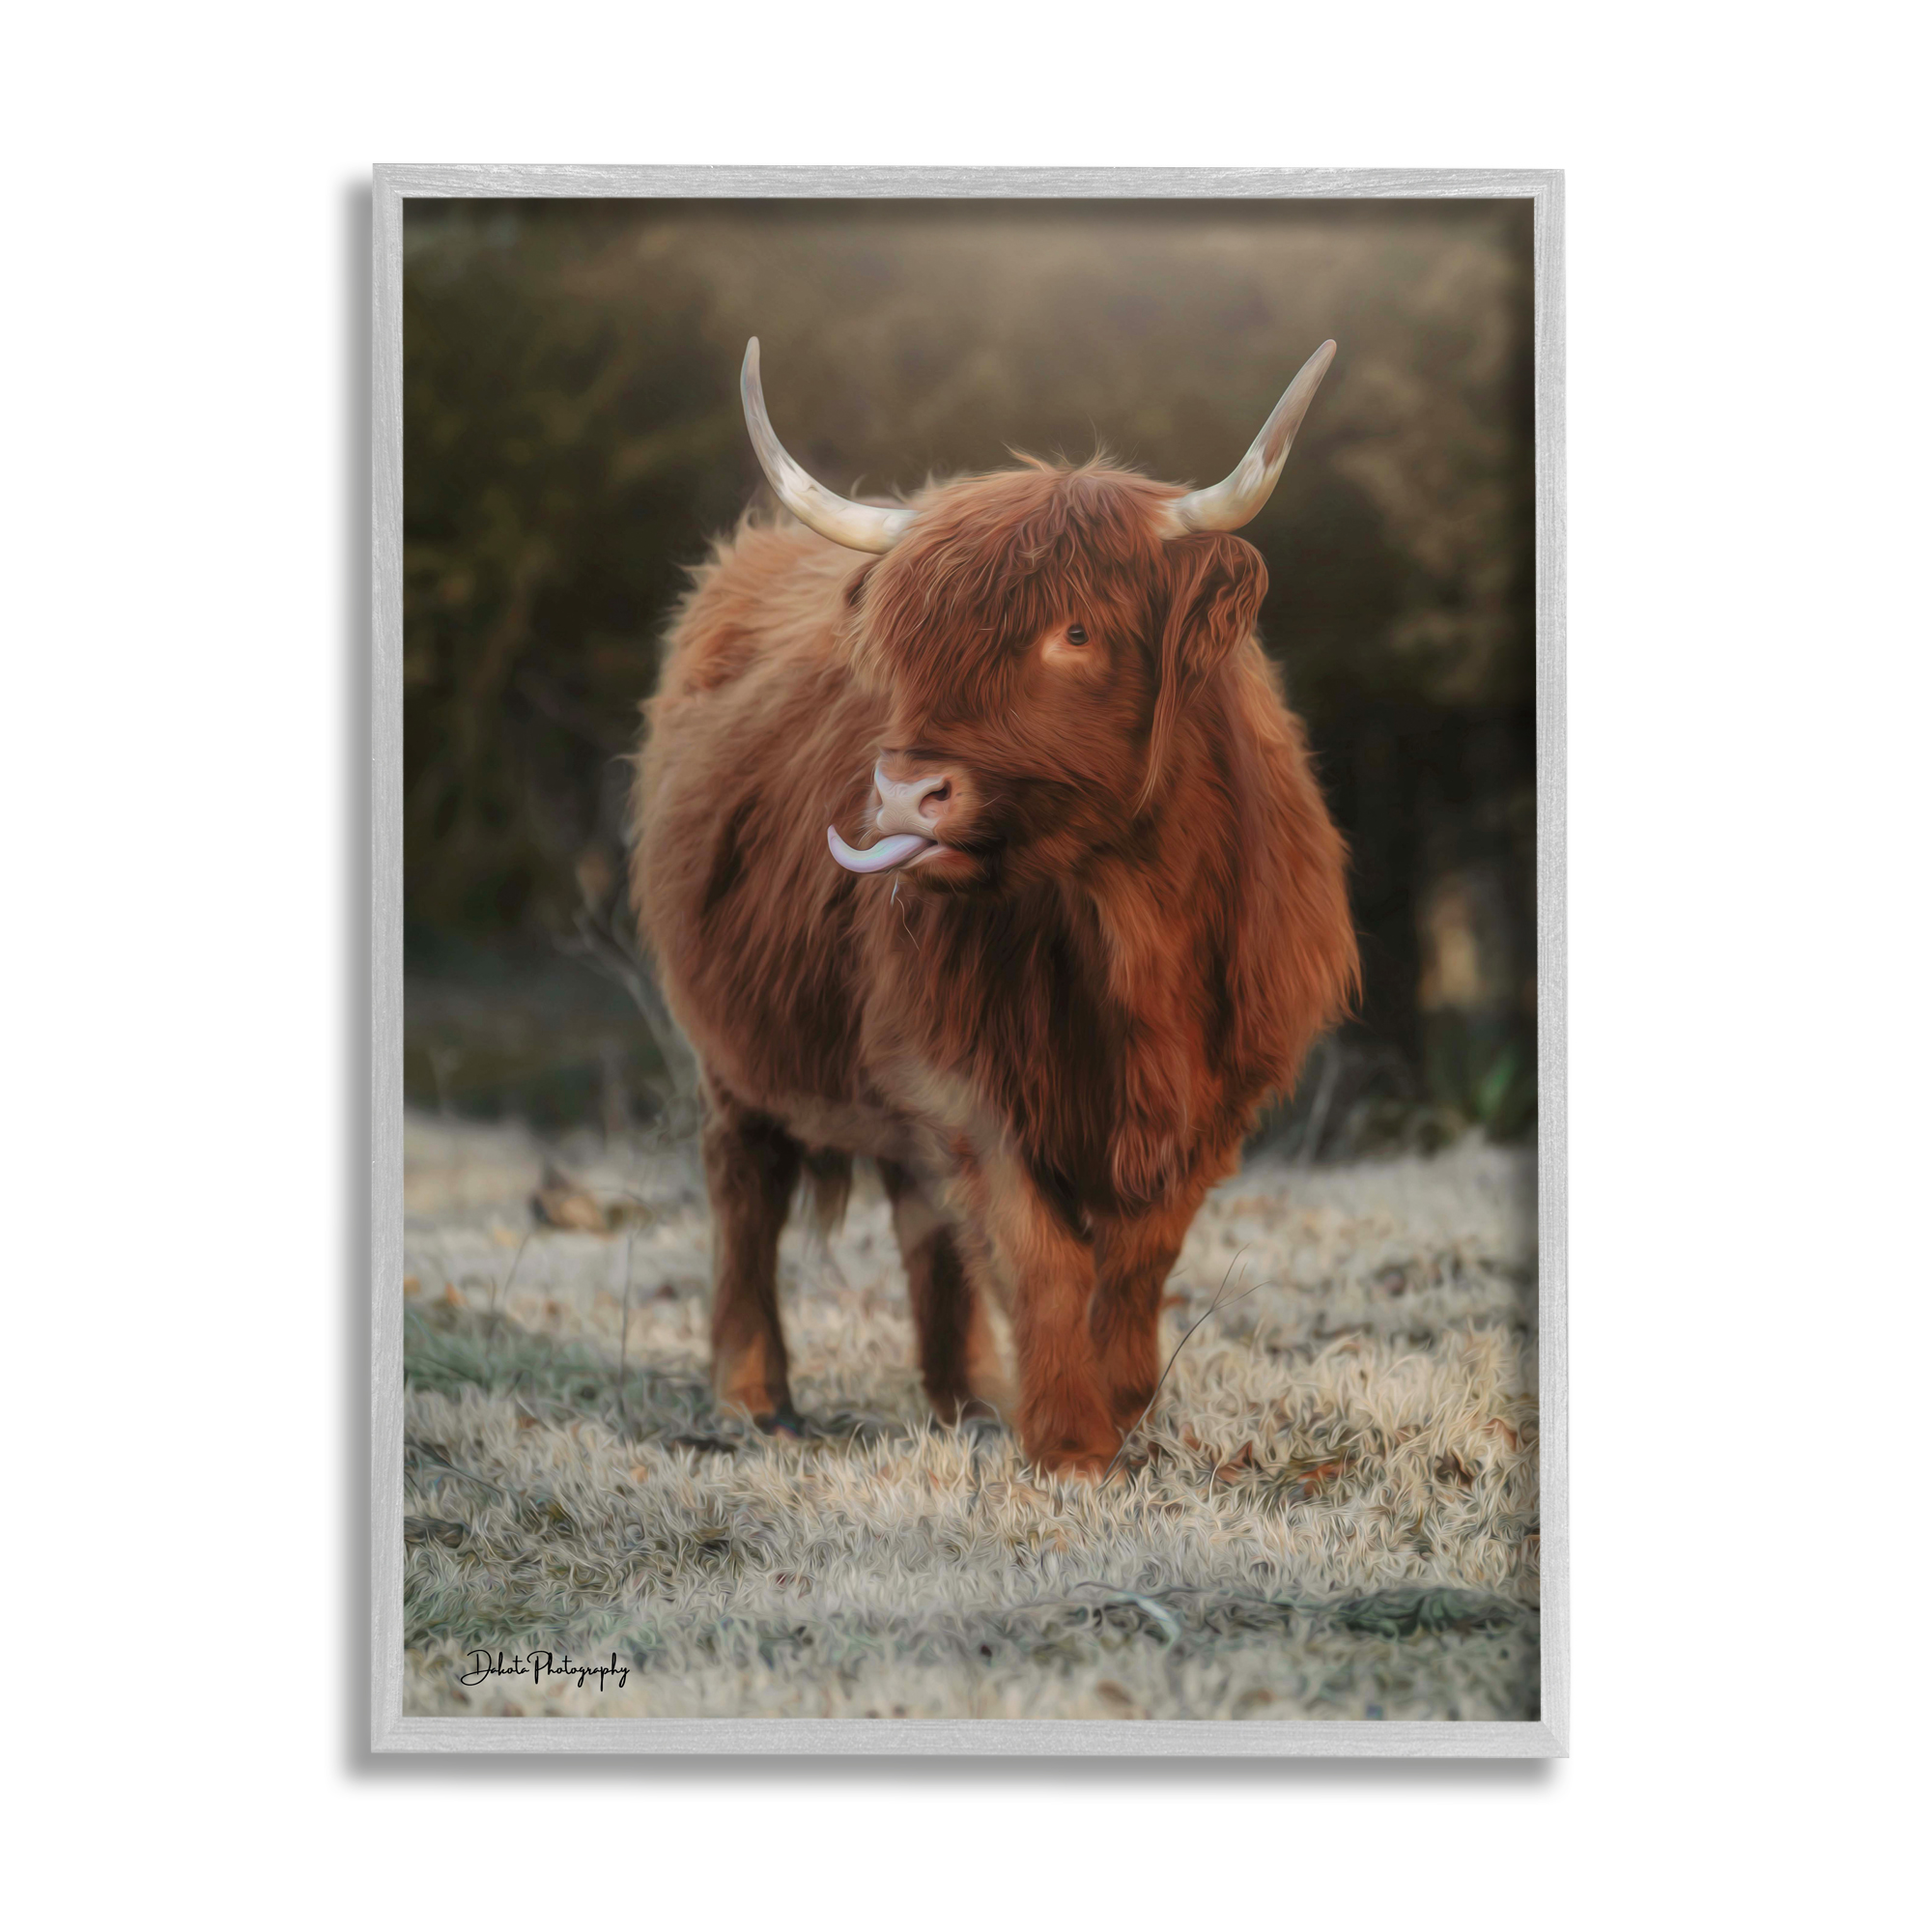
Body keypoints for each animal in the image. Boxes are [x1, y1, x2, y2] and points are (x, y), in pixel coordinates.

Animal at [632, 339, 1358, 1477]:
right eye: (906, 646)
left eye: (1077, 629)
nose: (900, 795)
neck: (1124, 922)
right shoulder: (963, 1075)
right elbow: (1041, 1252)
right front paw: (1068, 1444)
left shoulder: (1220, 1089)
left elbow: (1141, 1255)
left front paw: (1122, 1409)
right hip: (732, 1045)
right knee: (745, 1184)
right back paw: (755, 1397)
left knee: (919, 1218)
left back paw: (965, 1396)